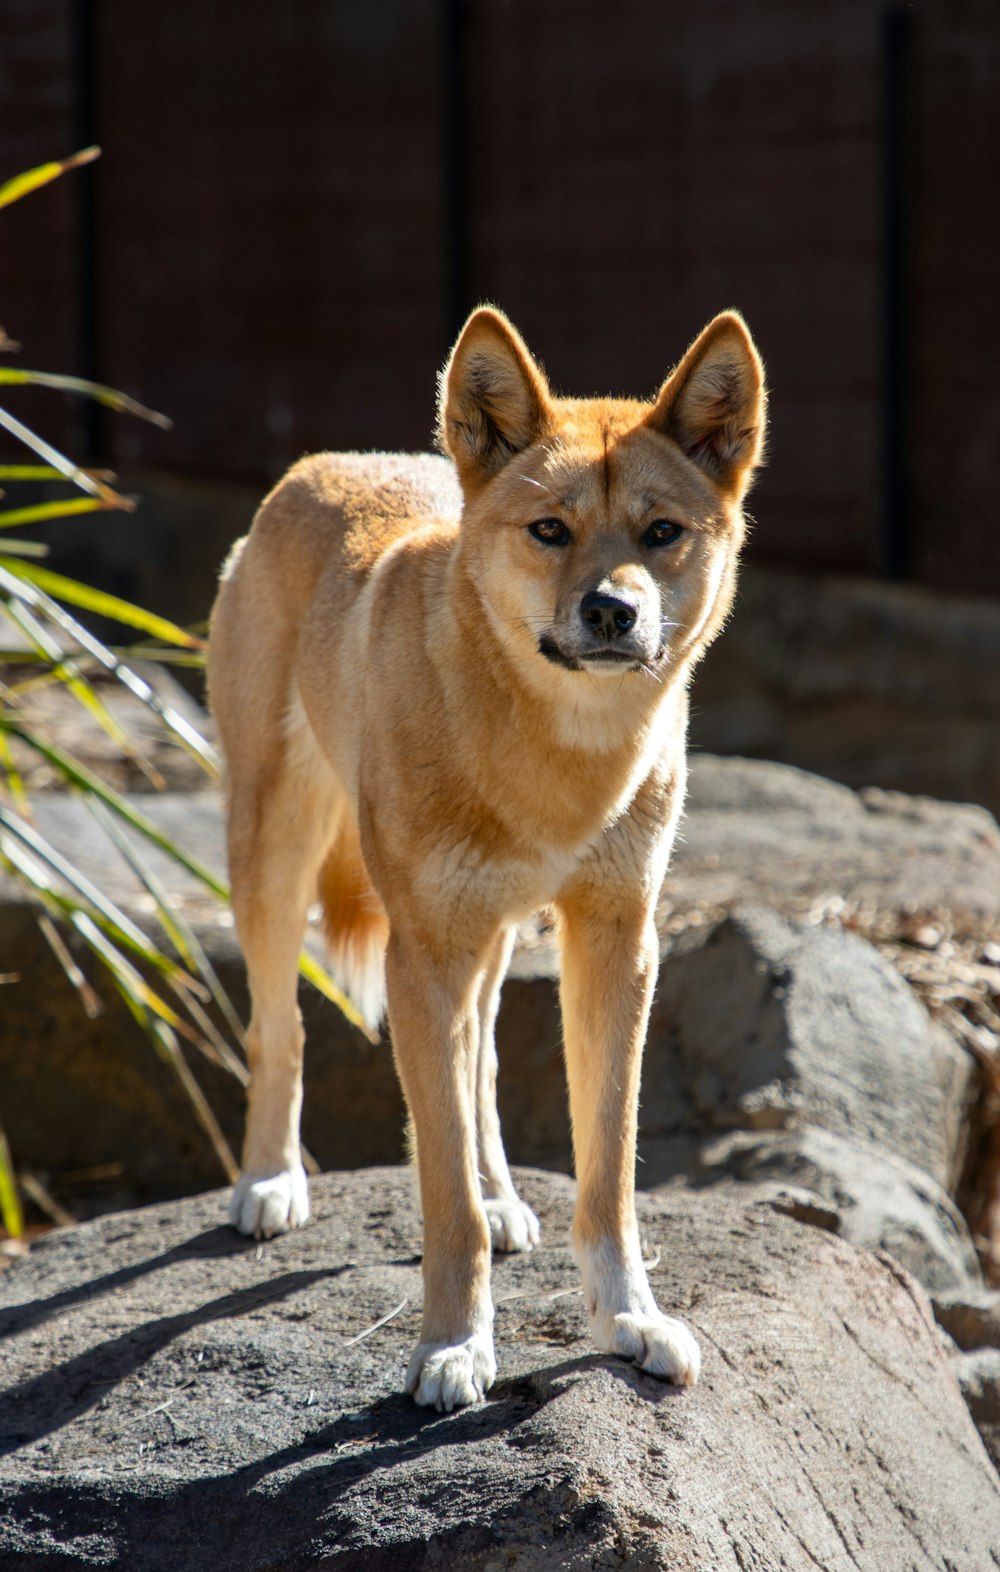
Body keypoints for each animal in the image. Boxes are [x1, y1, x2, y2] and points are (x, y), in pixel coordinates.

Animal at [209, 300, 764, 1408]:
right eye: (550, 530)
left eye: (662, 533)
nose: (611, 610)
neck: (558, 754)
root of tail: (327, 462)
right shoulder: (421, 956)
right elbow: (441, 1196)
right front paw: (454, 1345)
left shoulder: (617, 945)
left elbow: (606, 1168)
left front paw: (628, 1319)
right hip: (275, 860)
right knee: (280, 1030)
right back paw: (270, 1180)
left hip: (494, 935)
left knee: (482, 1069)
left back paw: (503, 1192)